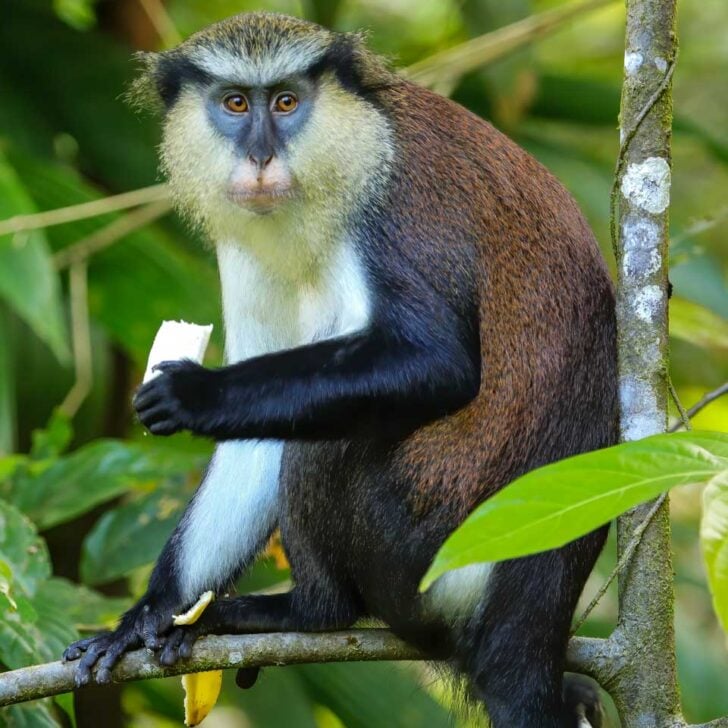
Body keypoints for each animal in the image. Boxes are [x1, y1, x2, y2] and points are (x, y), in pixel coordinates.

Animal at [63, 13, 616, 727]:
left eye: (286, 102)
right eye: (235, 103)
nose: (260, 158)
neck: (351, 145)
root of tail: (535, 605)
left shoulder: (399, 207)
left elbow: (435, 362)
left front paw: (195, 394)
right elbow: (251, 444)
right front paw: (147, 616)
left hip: (420, 552)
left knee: (329, 441)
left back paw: (311, 611)